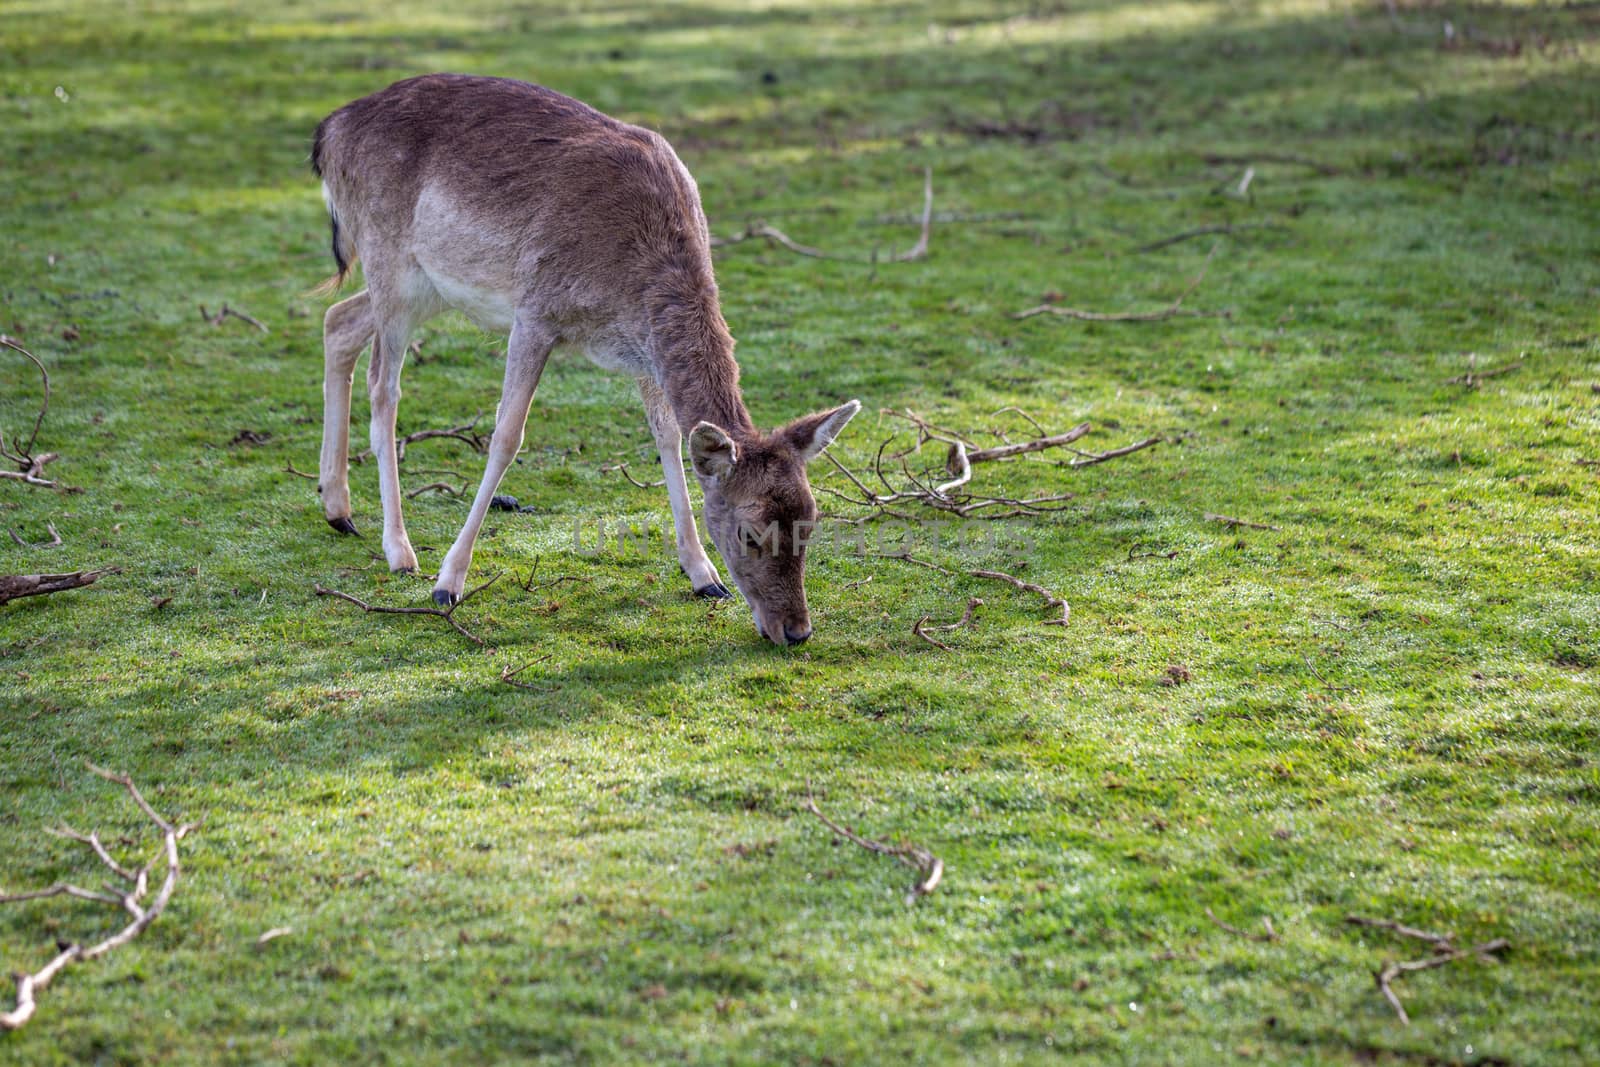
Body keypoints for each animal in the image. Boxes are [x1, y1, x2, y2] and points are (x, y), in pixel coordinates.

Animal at [313, 75, 864, 646]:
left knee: (337, 320)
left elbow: (668, 437)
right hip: (389, 260)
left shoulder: (643, 350)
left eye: (811, 520)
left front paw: (703, 575)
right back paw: (399, 550)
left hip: (426, 288)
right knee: (384, 386)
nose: (796, 630)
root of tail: (328, 132)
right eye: (749, 532)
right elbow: (506, 437)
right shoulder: (535, 313)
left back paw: (337, 508)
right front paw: (449, 583)